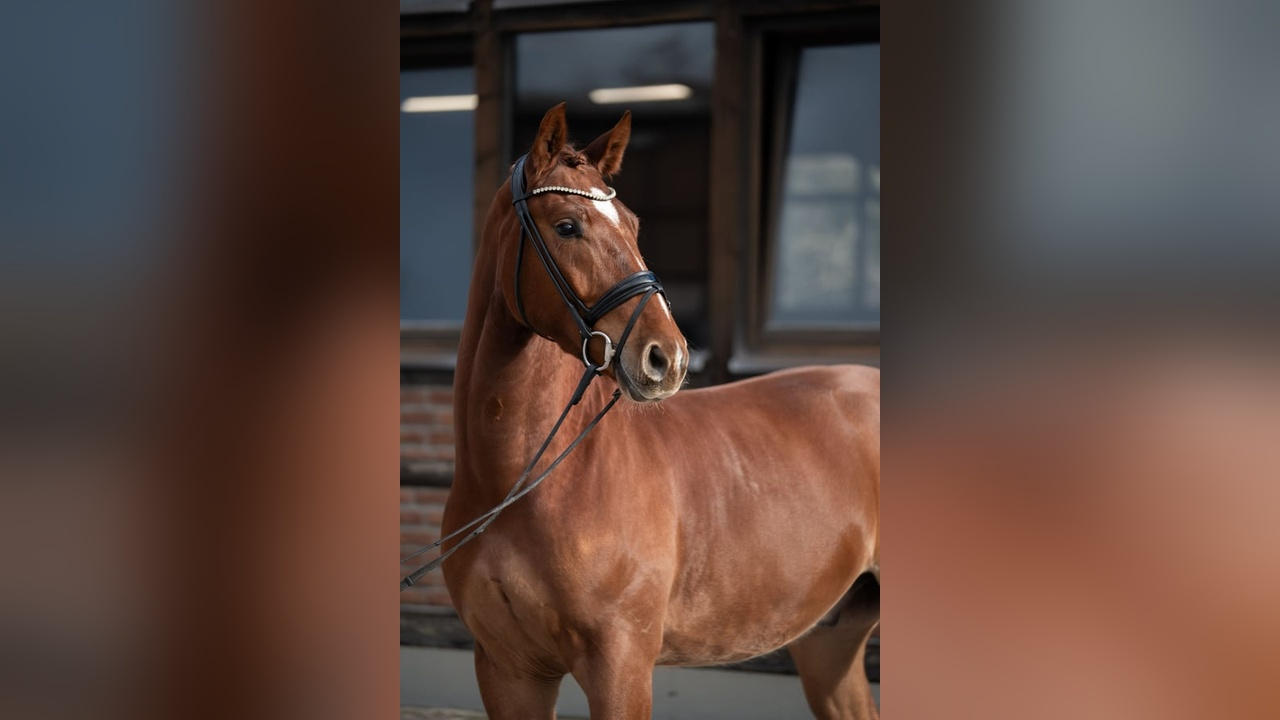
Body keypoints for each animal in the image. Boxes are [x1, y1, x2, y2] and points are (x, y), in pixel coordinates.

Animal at [441, 102, 880, 719]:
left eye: (633, 225)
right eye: (567, 226)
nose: (666, 356)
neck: (526, 483)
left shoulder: (621, 668)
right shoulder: (508, 671)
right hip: (830, 640)